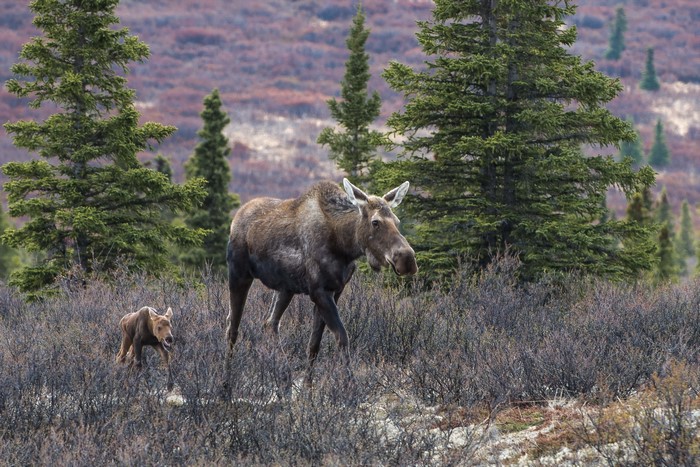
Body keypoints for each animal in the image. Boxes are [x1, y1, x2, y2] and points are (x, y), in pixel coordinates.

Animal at [225, 178, 417, 385]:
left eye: (397, 221)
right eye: (376, 222)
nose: (407, 259)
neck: (345, 245)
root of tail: (236, 217)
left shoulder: (335, 290)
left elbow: (314, 344)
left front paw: (308, 386)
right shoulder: (319, 291)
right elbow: (342, 337)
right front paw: (350, 384)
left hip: (285, 288)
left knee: (270, 323)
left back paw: (284, 375)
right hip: (239, 274)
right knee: (232, 328)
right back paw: (226, 379)